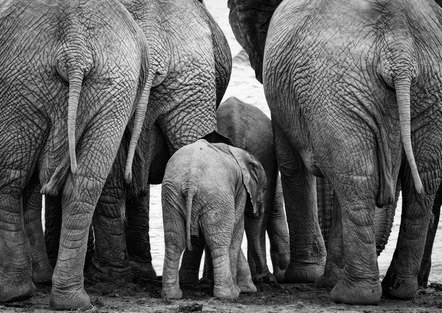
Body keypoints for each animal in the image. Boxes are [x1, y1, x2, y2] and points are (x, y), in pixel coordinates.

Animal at [0, 0, 151, 308]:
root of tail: (75, 47)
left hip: (21, 81)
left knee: (9, 180)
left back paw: (13, 293)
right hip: (112, 90)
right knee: (83, 188)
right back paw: (70, 301)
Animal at [161, 136, 268, 298]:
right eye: (264, 188)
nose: (262, 277)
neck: (238, 152)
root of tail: (190, 180)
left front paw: (246, 288)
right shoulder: (241, 189)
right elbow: (236, 228)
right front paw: (244, 290)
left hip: (171, 194)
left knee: (174, 240)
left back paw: (171, 295)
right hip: (216, 195)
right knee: (219, 242)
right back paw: (228, 294)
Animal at [228, 0, 442, 304]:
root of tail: (400, 52)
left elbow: (293, 166)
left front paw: (303, 277)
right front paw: (318, 278)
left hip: (340, 88)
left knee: (357, 181)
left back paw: (353, 294)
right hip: (412, 90)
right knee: (414, 181)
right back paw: (396, 290)